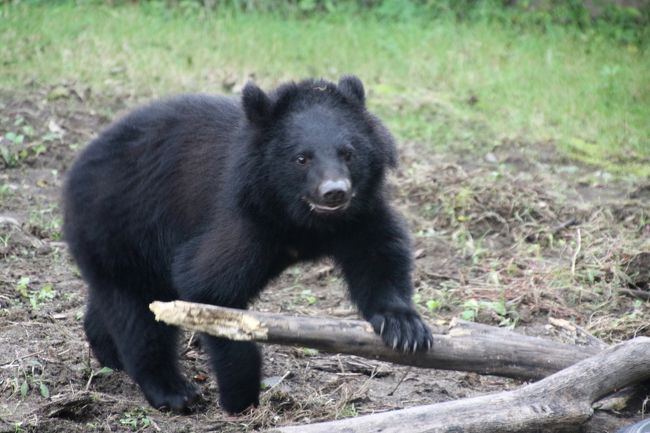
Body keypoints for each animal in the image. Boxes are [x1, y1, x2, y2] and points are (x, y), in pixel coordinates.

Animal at [63, 76, 432, 414]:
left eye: (349, 153)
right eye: (302, 158)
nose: (335, 192)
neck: (301, 219)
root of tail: (77, 166)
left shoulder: (360, 215)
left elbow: (380, 254)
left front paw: (405, 329)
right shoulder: (245, 218)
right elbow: (211, 287)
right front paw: (242, 397)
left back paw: (108, 352)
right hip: (121, 224)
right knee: (138, 315)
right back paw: (174, 392)